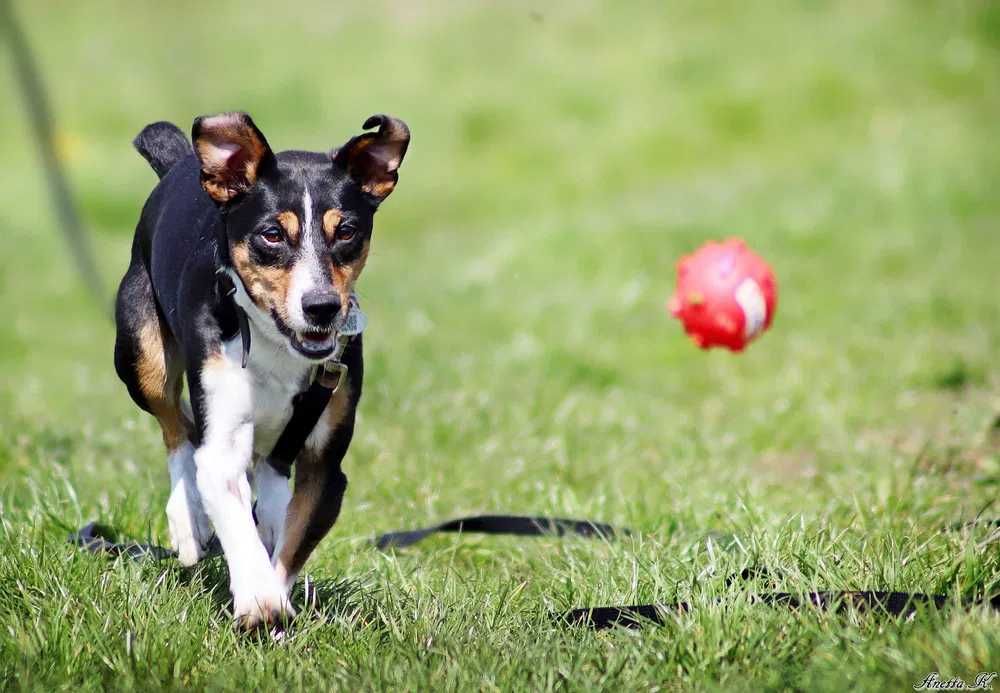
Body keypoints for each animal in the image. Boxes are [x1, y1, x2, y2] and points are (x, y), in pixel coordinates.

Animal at [110, 112, 406, 628]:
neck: (276, 343)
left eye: (346, 231)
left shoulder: (325, 465)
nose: (322, 307)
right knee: (176, 427)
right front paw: (257, 598)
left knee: (266, 472)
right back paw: (188, 518)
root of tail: (181, 162)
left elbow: (292, 544)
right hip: (139, 354)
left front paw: (274, 597)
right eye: (272, 234)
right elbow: (231, 511)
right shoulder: (223, 435)